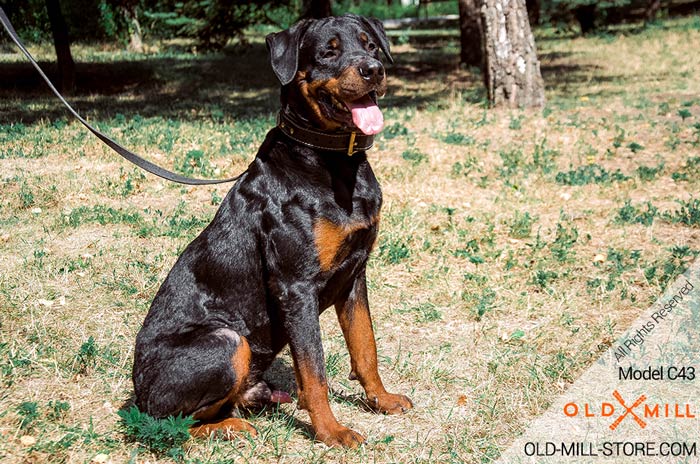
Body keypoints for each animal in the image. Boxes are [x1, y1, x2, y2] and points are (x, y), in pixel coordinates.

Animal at [133, 13, 410, 450]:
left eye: (370, 45)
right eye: (328, 51)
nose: (373, 70)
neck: (333, 164)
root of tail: (136, 396)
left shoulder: (355, 273)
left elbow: (366, 346)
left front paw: (381, 400)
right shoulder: (296, 287)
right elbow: (314, 372)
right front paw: (331, 432)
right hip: (227, 340)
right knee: (165, 424)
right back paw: (229, 427)